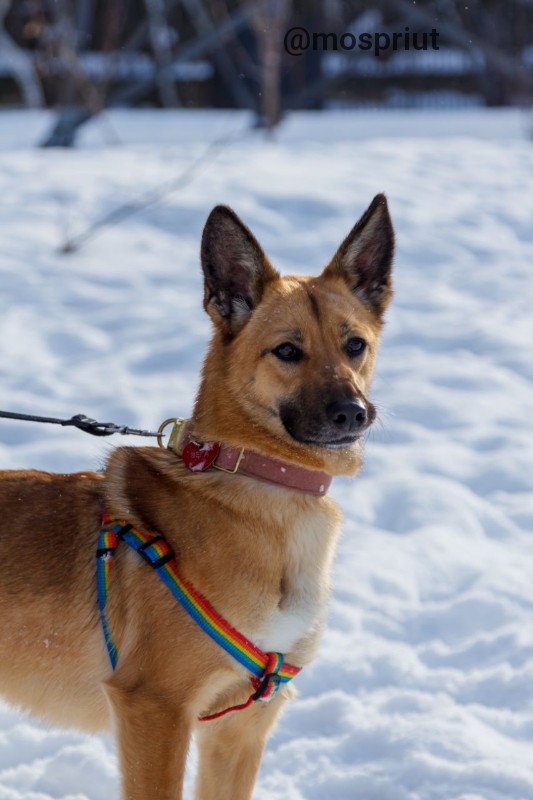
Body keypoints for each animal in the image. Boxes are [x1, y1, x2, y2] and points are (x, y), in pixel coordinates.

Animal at [0, 195, 390, 800]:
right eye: (287, 351)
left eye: (356, 345)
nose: (353, 413)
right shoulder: (154, 708)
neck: (260, 483)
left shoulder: (240, 728)